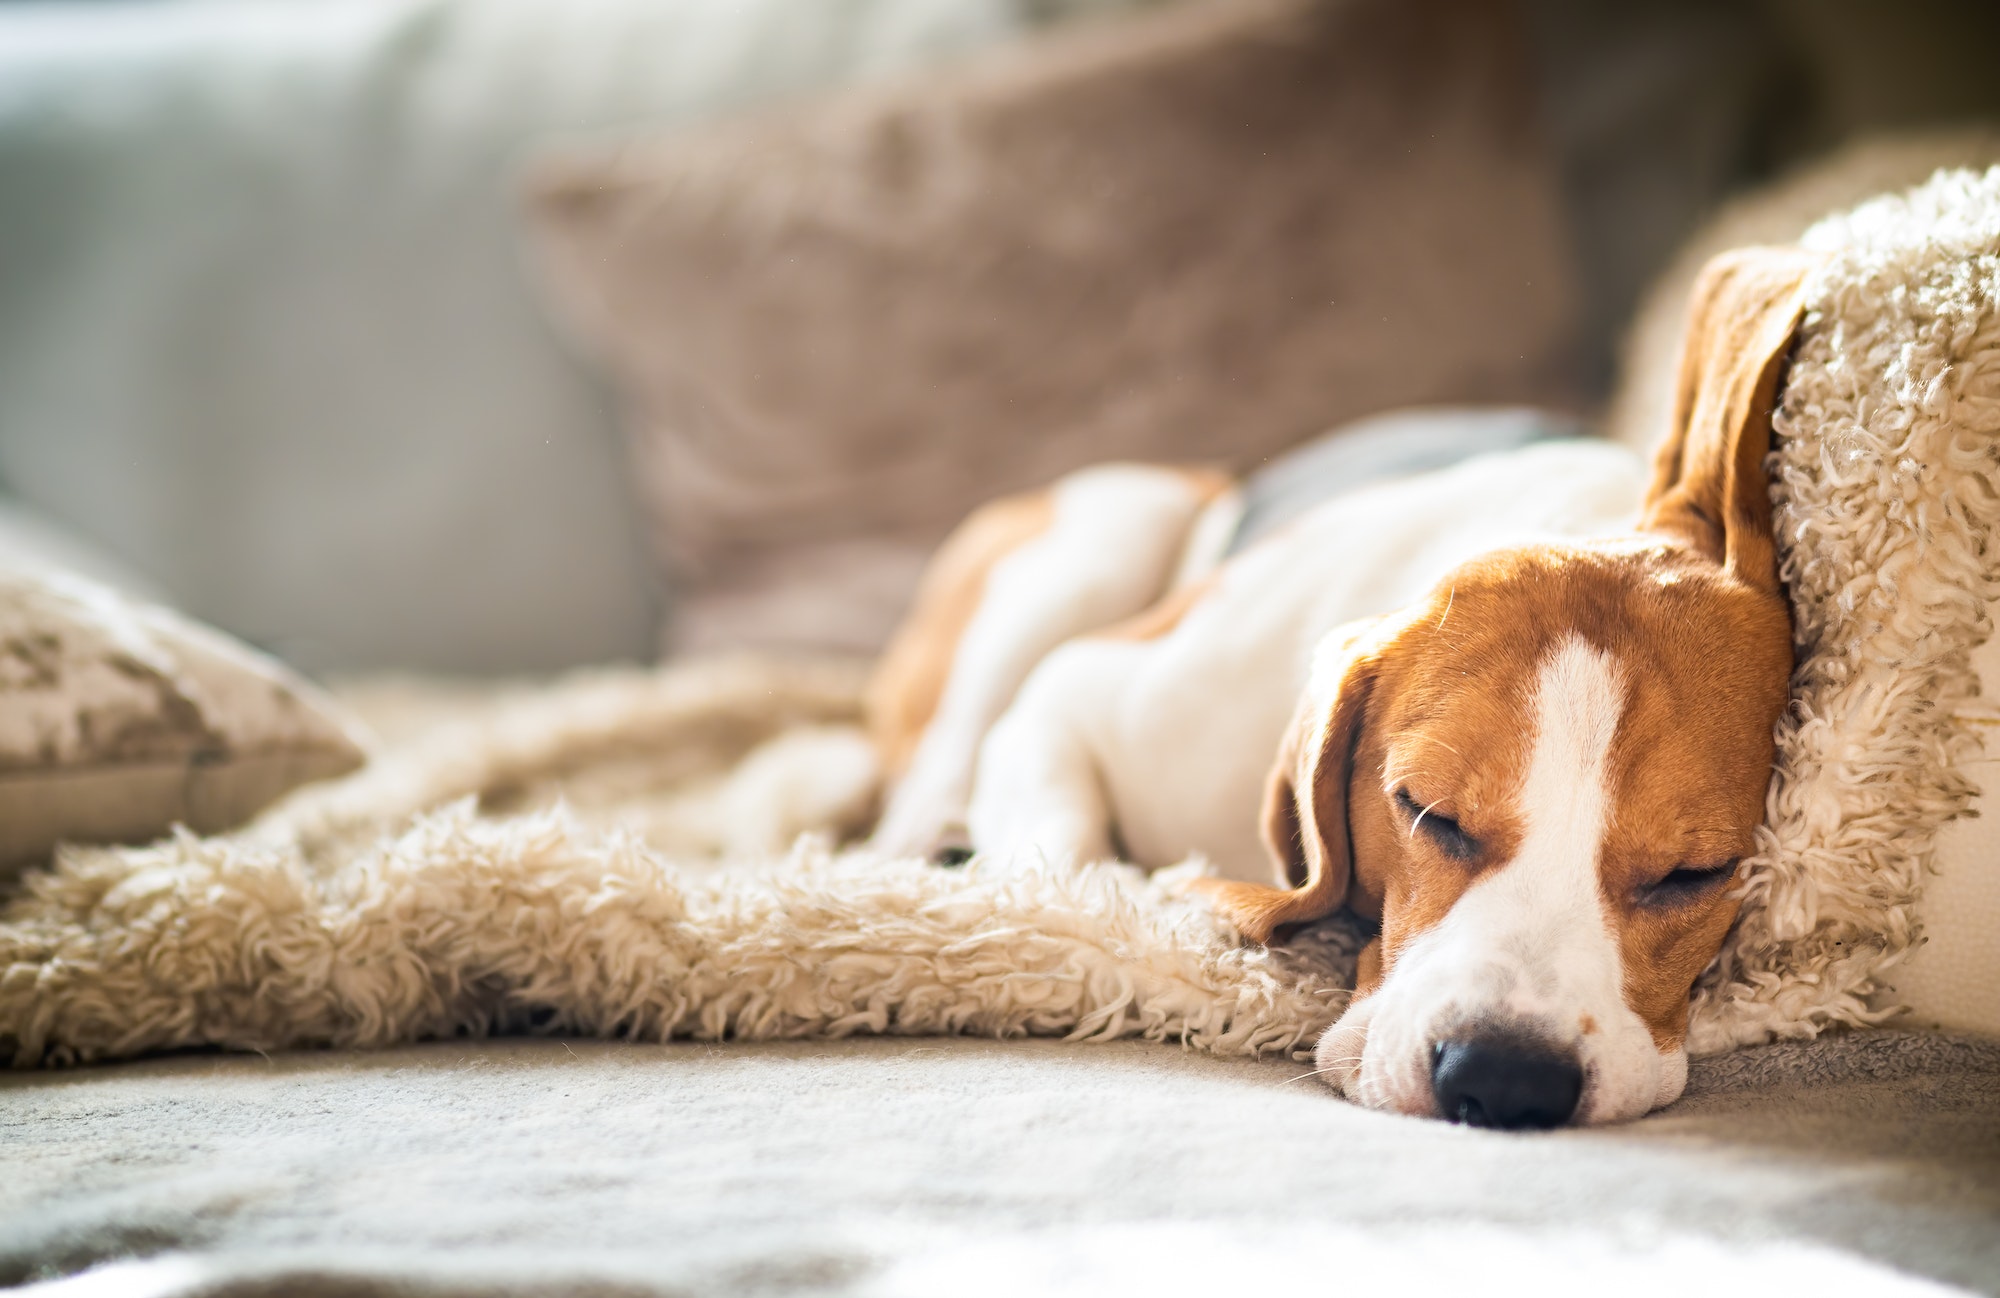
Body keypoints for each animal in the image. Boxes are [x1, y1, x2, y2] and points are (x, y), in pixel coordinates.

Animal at [868, 251, 1824, 1120]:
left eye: (1695, 875)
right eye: (1428, 813)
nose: (1505, 1080)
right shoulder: (1072, 693)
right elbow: (1070, 866)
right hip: (1106, 534)